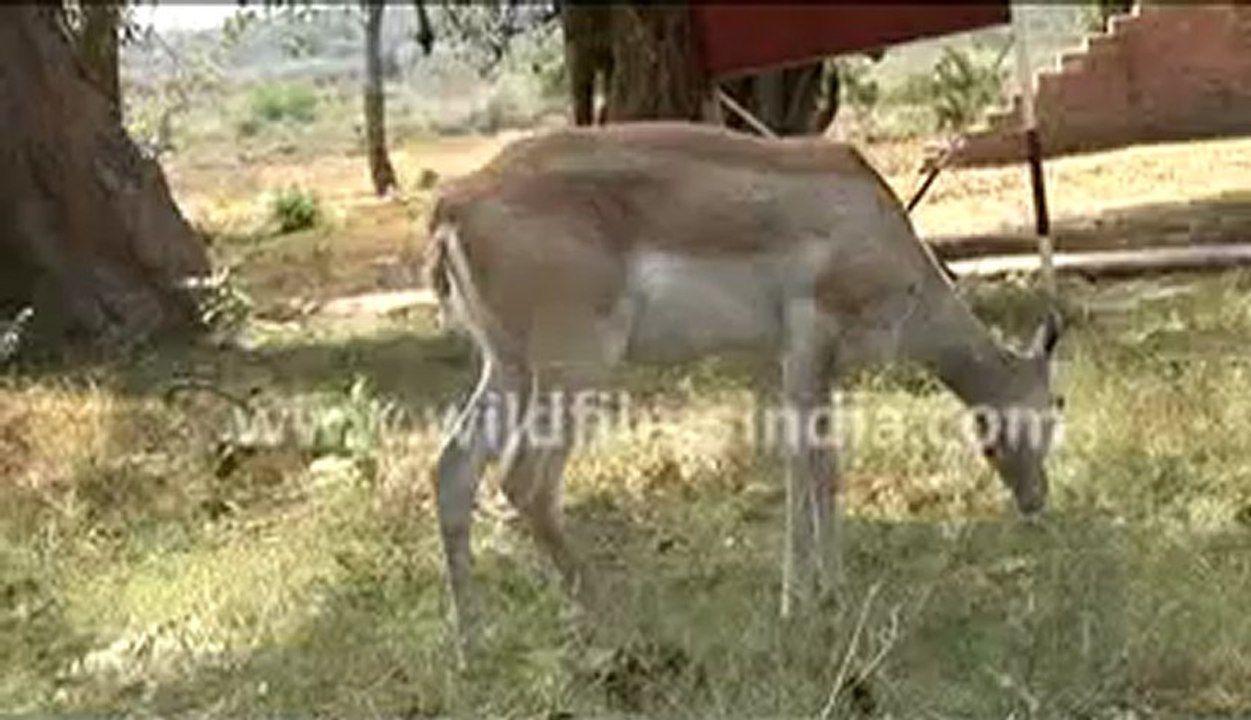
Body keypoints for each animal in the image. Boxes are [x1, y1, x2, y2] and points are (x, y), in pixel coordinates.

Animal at [424, 121, 1064, 655]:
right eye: (1054, 407)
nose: (1035, 500)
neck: (870, 219)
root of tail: (455, 204)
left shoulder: (788, 364)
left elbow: (813, 467)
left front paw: (823, 593)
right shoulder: (809, 341)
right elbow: (812, 467)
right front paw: (807, 601)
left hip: (508, 368)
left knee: (453, 472)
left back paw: (473, 643)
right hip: (573, 369)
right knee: (525, 482)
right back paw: (624, 621)